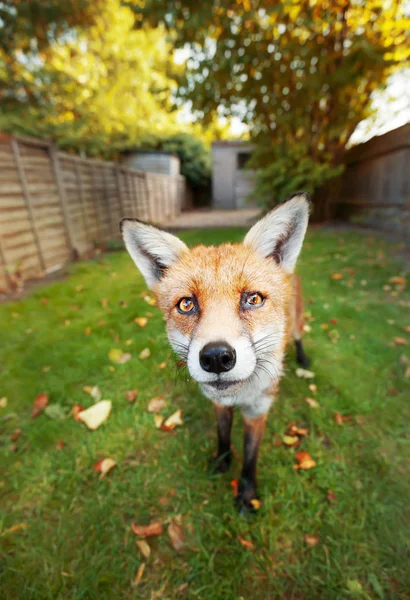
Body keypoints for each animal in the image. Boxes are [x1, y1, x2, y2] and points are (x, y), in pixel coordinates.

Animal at [121, 191, 310, 510]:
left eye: (253, 299)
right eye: (186, 304)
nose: (217, 358)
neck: (240, 395)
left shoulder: (258, 411)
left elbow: (250, 456)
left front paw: (246, 495)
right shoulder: (219, 403)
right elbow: (223, 436)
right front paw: (221, 462)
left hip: (296, 323)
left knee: (299, 337)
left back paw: (304, 359)